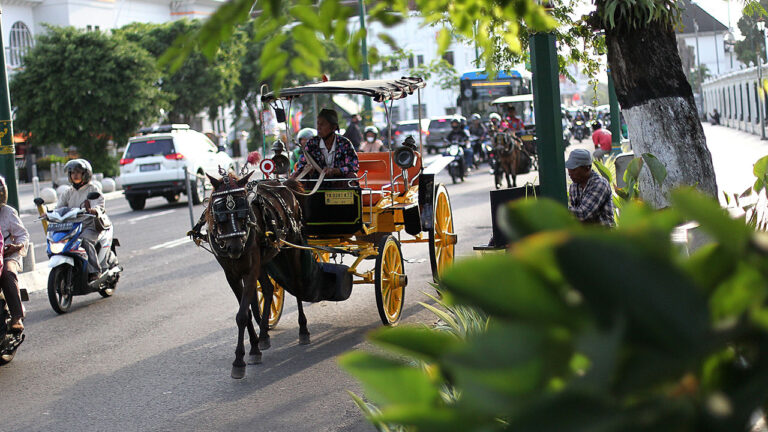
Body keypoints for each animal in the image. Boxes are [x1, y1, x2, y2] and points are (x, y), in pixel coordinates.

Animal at [204, 171, 312, 378]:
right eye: (218, 209)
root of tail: (284, 183)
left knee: (297, 285)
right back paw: (263, 336)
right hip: (264, 261)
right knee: (268, 289)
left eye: (243, 209)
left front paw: (239, 361)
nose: (235, 248)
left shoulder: (250, 270)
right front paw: (254, 347)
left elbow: (242, 315)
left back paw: (303, 329)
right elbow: (246, 311)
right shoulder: (231, 275)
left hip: (292, 247)